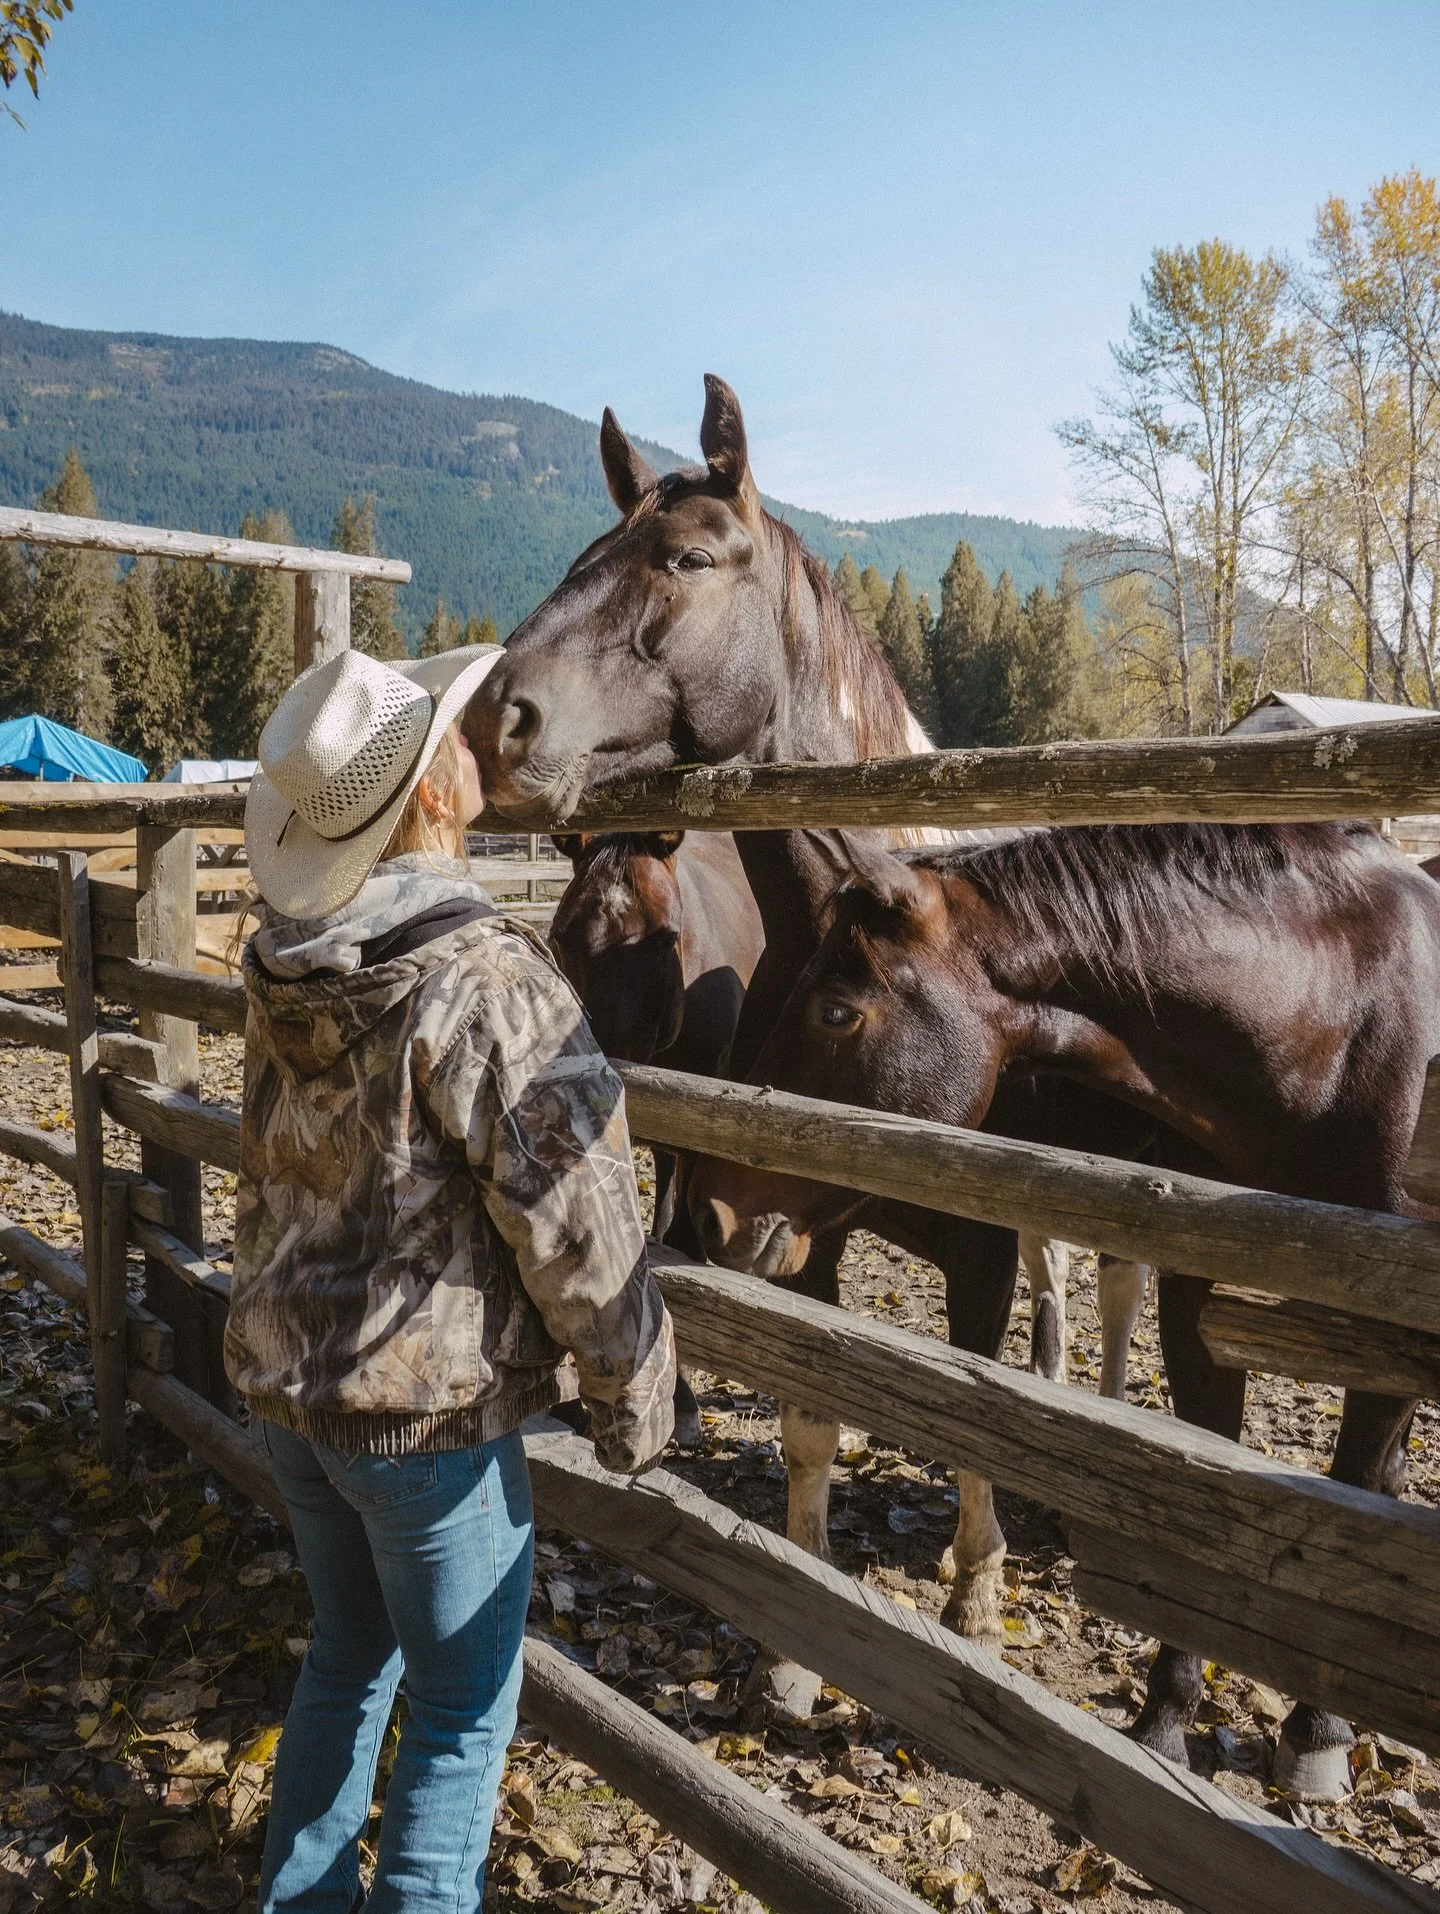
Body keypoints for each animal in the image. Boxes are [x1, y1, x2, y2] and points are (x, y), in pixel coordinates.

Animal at [465, 374, 1150, 1660]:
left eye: (687, 559)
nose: (493, 720)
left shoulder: (977, 1250)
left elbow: (977, 1417)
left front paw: (977, 1588)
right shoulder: (800, 1227)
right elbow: (812, 1424)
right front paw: (793, 1638)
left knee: (1109, 1287)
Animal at [685, 819, 1440, 1798]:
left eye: (836, 1012)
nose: (710, 1210)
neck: (1335, 1035)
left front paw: (1315, 1734)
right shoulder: (1195, 1307)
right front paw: (1162, 1725)